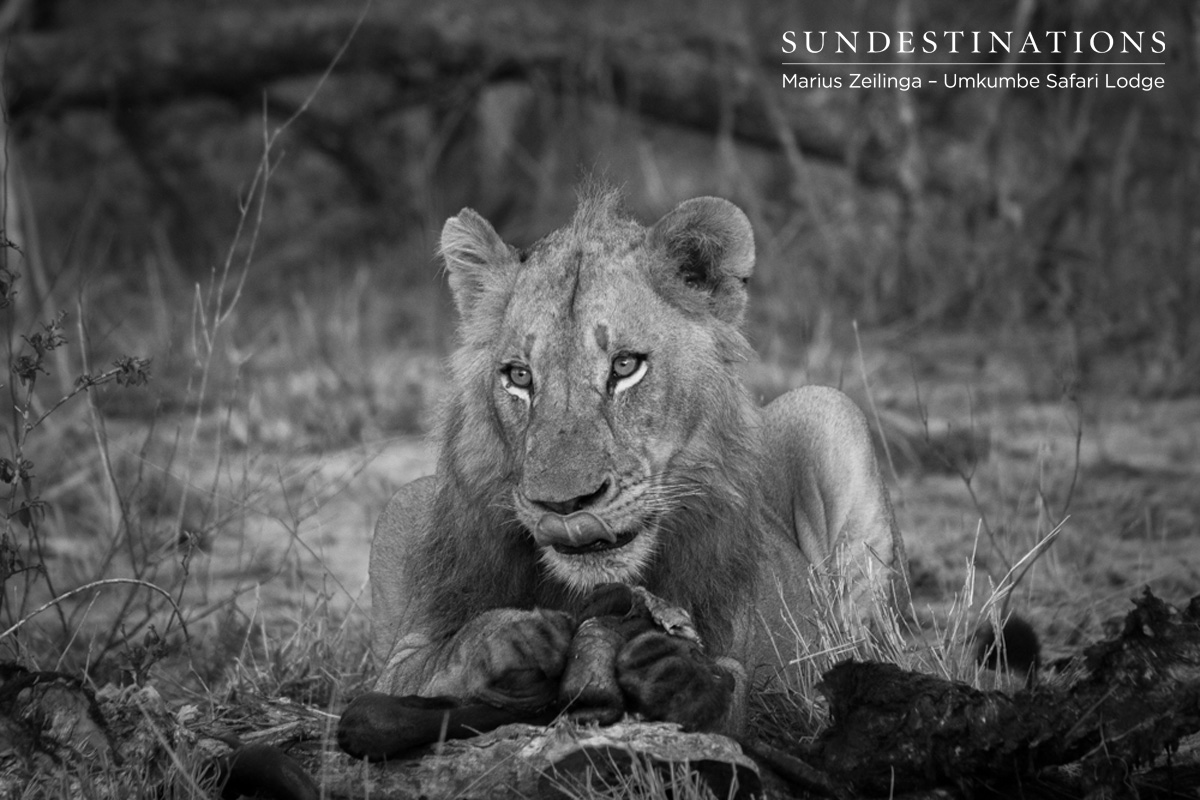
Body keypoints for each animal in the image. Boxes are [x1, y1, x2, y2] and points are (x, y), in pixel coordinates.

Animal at [368, 186, 907, 734]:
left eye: (625, 366)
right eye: (519, 376)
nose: (564, 506)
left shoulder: (753, 668)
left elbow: (735, 683)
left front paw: (679, 674)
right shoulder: (400, 660)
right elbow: (441, 654)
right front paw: (512, 639)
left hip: (830, 410)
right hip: (401, 503)